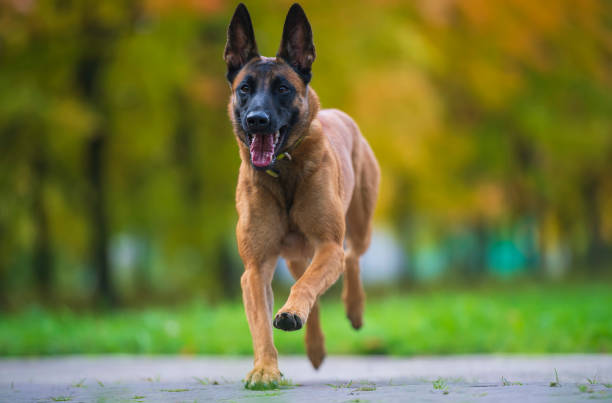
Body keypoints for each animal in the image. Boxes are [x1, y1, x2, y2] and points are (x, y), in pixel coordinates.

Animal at [222, 2, 380, 388]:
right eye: (244, 88)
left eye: (282, 88)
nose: (257, 120)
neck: (284, 173)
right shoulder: (255, 267)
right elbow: (261, 323)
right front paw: (265, 369)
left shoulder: (327, 245)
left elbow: (307, 286)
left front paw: (291, 312)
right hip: (295, 255)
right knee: (313, 286)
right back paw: (315, 347)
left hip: (359, 225)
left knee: (351, 258)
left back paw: (354, 308)